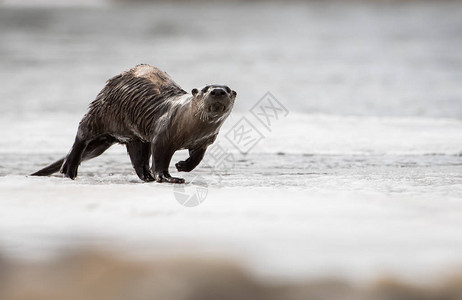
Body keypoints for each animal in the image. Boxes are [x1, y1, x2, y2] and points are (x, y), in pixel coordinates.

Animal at [30, 64, 236, 183]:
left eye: (227, 89)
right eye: (205, 89)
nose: (217, 91)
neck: (191, 128)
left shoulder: (205, 141)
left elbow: (197, 158)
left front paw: (183, 166)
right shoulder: (163, 134)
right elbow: (160, 158)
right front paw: (168, 177)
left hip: (130, 137)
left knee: (138, 157)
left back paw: (147, 176)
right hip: (100, 112)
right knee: (82, 131)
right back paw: (70, 168)